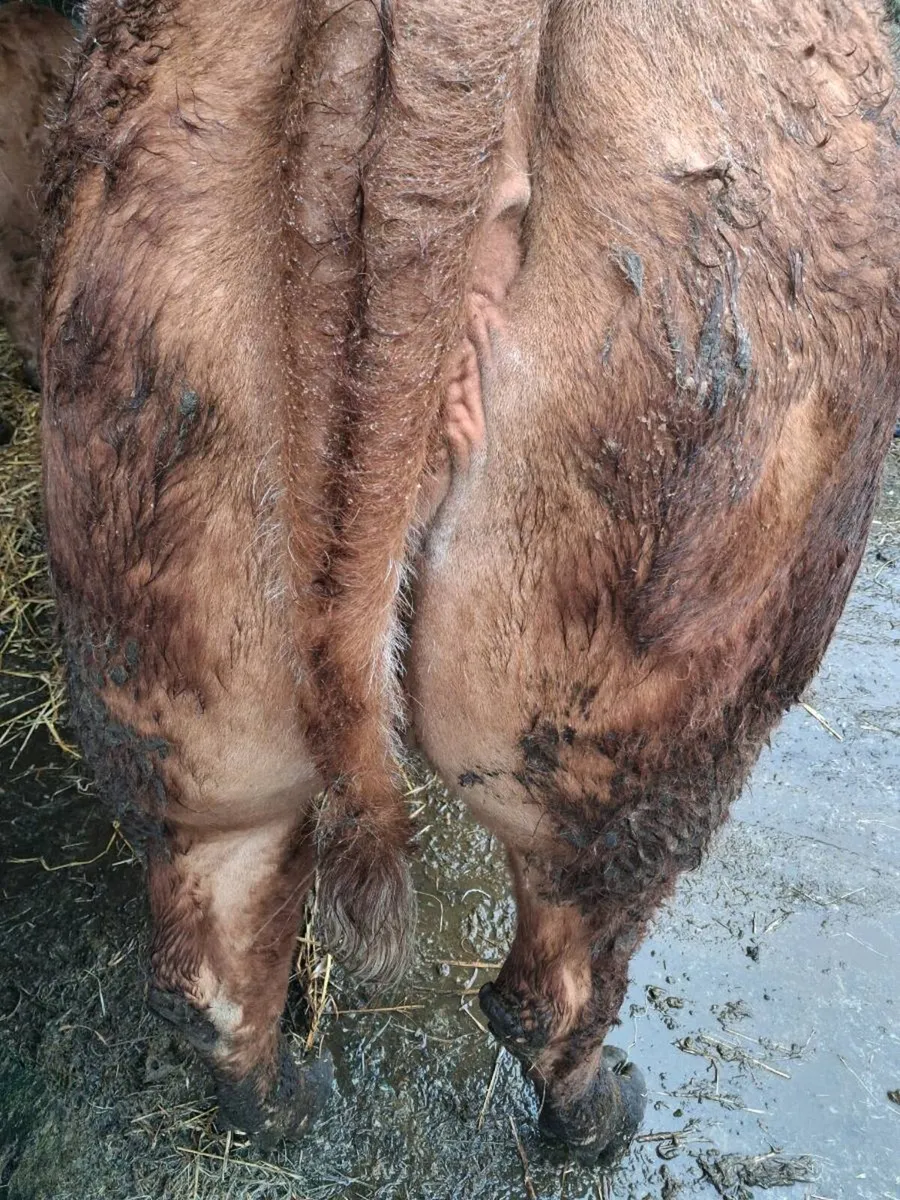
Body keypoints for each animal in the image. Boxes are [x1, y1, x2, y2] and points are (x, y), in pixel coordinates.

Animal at [40, 0, 900, 1166]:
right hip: (654, 664)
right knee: (557, 977)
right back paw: (599, 1117)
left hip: (165, 566)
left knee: (208, 953)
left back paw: (289, 1101)